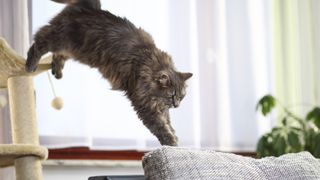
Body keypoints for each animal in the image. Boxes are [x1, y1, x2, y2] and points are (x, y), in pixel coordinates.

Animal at [26, 0, 191, 146]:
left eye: (181, 97)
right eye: (172, 95)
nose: (177, 105)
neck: (148, 62)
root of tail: (89, 7)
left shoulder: (158, 107)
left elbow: (168, 123)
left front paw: (174, 138)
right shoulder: (144, 105)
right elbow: (161, 127)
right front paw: (172, 144)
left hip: (72, 49)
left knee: (58, 54)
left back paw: (57, 71)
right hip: (59, 38)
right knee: (38, 40)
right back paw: (30, 65)